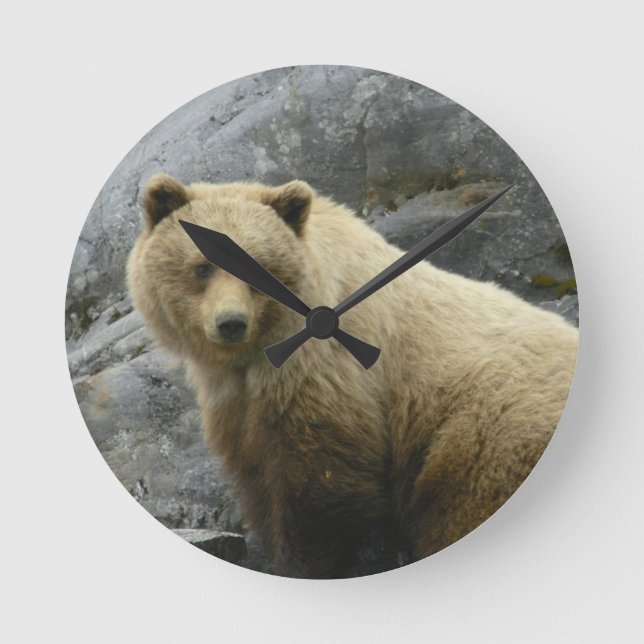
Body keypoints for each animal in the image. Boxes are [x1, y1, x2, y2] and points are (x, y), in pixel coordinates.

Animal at [127, 174, 578, 578]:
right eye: (202, 267)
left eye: (260, 266)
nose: (231, 323)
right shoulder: (237, 402)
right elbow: (257, 474)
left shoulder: (327, 376)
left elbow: (318, 485)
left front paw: (302, 562)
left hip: (487, 432)